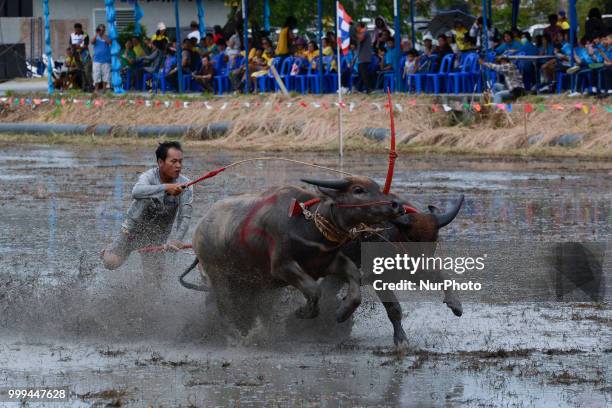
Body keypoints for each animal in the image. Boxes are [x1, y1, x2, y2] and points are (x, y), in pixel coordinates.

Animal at [190, 175, 402, 334]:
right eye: (358, 190)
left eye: (377, 187)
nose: (396, 205)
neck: (308, 225)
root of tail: (199, 229)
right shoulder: (282, 267)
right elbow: (314, 290)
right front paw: (302, 312)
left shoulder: (328, 262)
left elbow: (354, 278)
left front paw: (342, 312)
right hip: (219, 278)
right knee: (225, 306)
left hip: (250, 283)